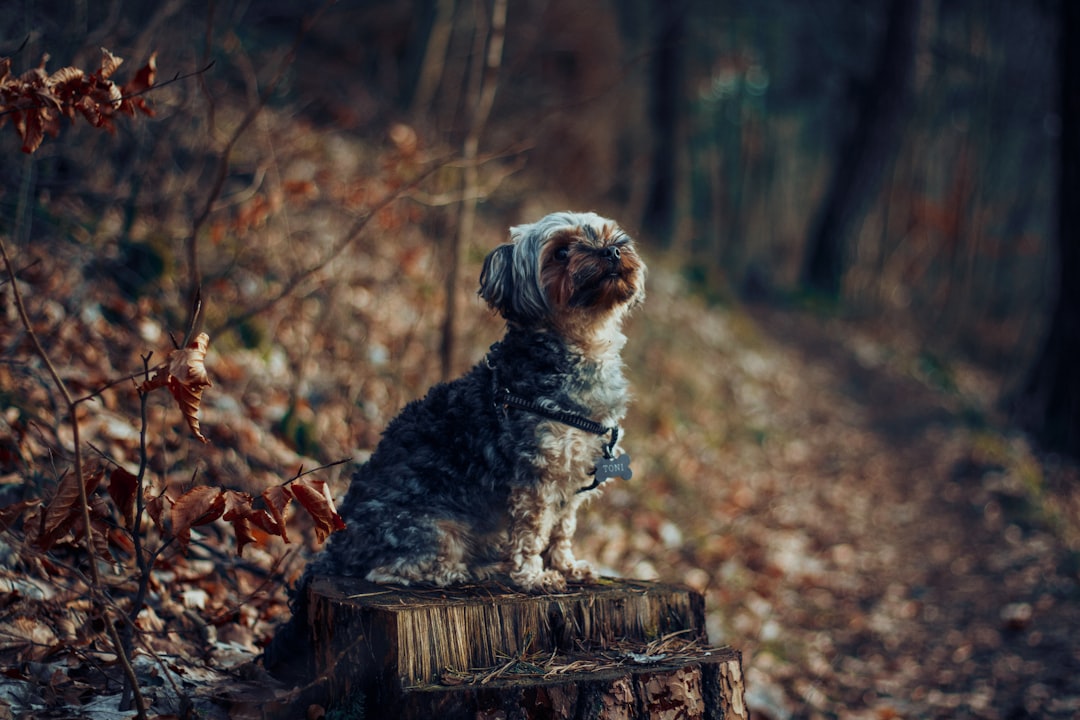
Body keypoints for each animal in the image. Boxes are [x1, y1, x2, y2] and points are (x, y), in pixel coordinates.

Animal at [300, 209, 643, 595]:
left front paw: (566, 566)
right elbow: (532, 533)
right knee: (389, 569)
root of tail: (338, 547)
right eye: (561, 252)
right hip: (434, 528)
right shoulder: (536, 478)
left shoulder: (573, 479)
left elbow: (561, 530)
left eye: (608, 234)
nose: (613, 251)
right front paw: (533, 576)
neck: (581, 349)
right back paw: (464, 571)